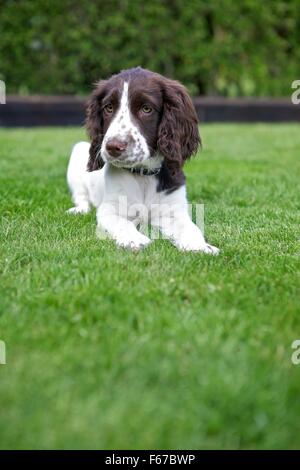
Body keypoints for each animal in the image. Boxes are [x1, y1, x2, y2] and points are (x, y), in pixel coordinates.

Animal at [67, 66, 219, 253]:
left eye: (146, 109)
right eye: (108, 108)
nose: (113, 147)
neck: (143, 175)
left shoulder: (172, 209)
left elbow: (191, 227)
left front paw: (201, 246)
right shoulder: (109, 210)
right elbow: (122, 223)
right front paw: (135, 240)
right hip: (78, 152)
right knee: (81, 197)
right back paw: (79, 210)